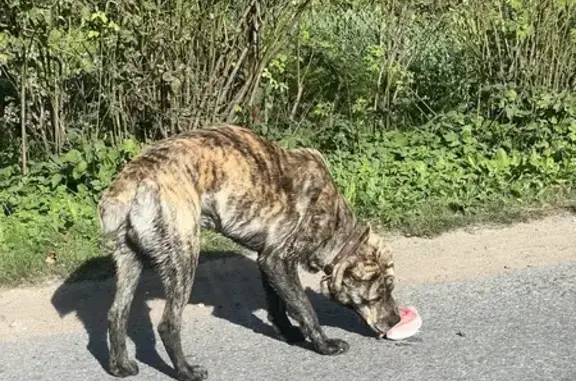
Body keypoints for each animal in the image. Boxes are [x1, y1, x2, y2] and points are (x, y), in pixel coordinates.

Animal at [98, 124, 400, 380]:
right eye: (379, 294)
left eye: (391, 288)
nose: (397, 320)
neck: (336, 224)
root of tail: (135, 177)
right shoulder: (278, 261)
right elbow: (304, 307)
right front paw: (324, 344)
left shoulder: (268, 263)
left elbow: (279, 304)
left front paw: (289, 333)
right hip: (184, 257)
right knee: (168, 324)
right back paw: (186, 371)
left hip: (130, 260)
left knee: (116, 314)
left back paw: (120, 366)